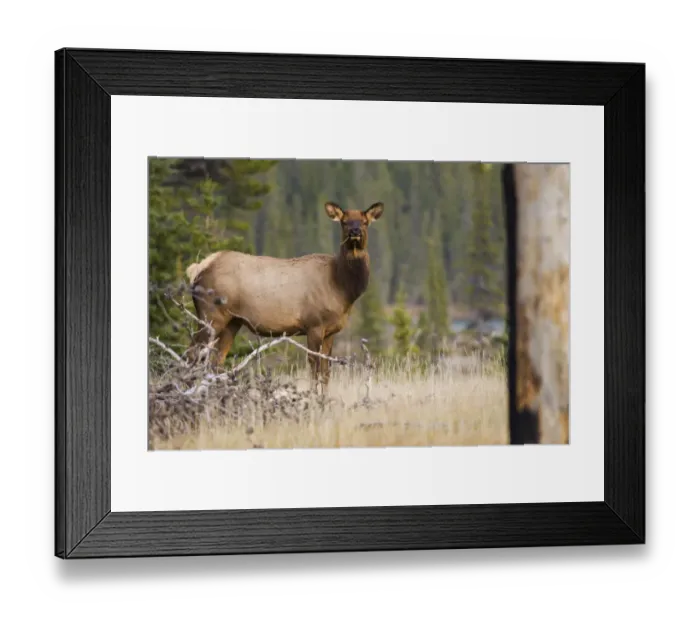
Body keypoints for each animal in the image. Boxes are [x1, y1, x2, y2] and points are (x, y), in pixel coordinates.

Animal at [183, 201, 385, 391]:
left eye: (365, 222)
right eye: (344, 222)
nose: (355, 231)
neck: (341, 287)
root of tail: (197, 269)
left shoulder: (330, 331)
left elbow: (326, 372)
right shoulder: (314, 324)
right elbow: (314, 368)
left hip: (232, 322)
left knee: (215, 362)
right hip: (211, 315)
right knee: (192, 355)